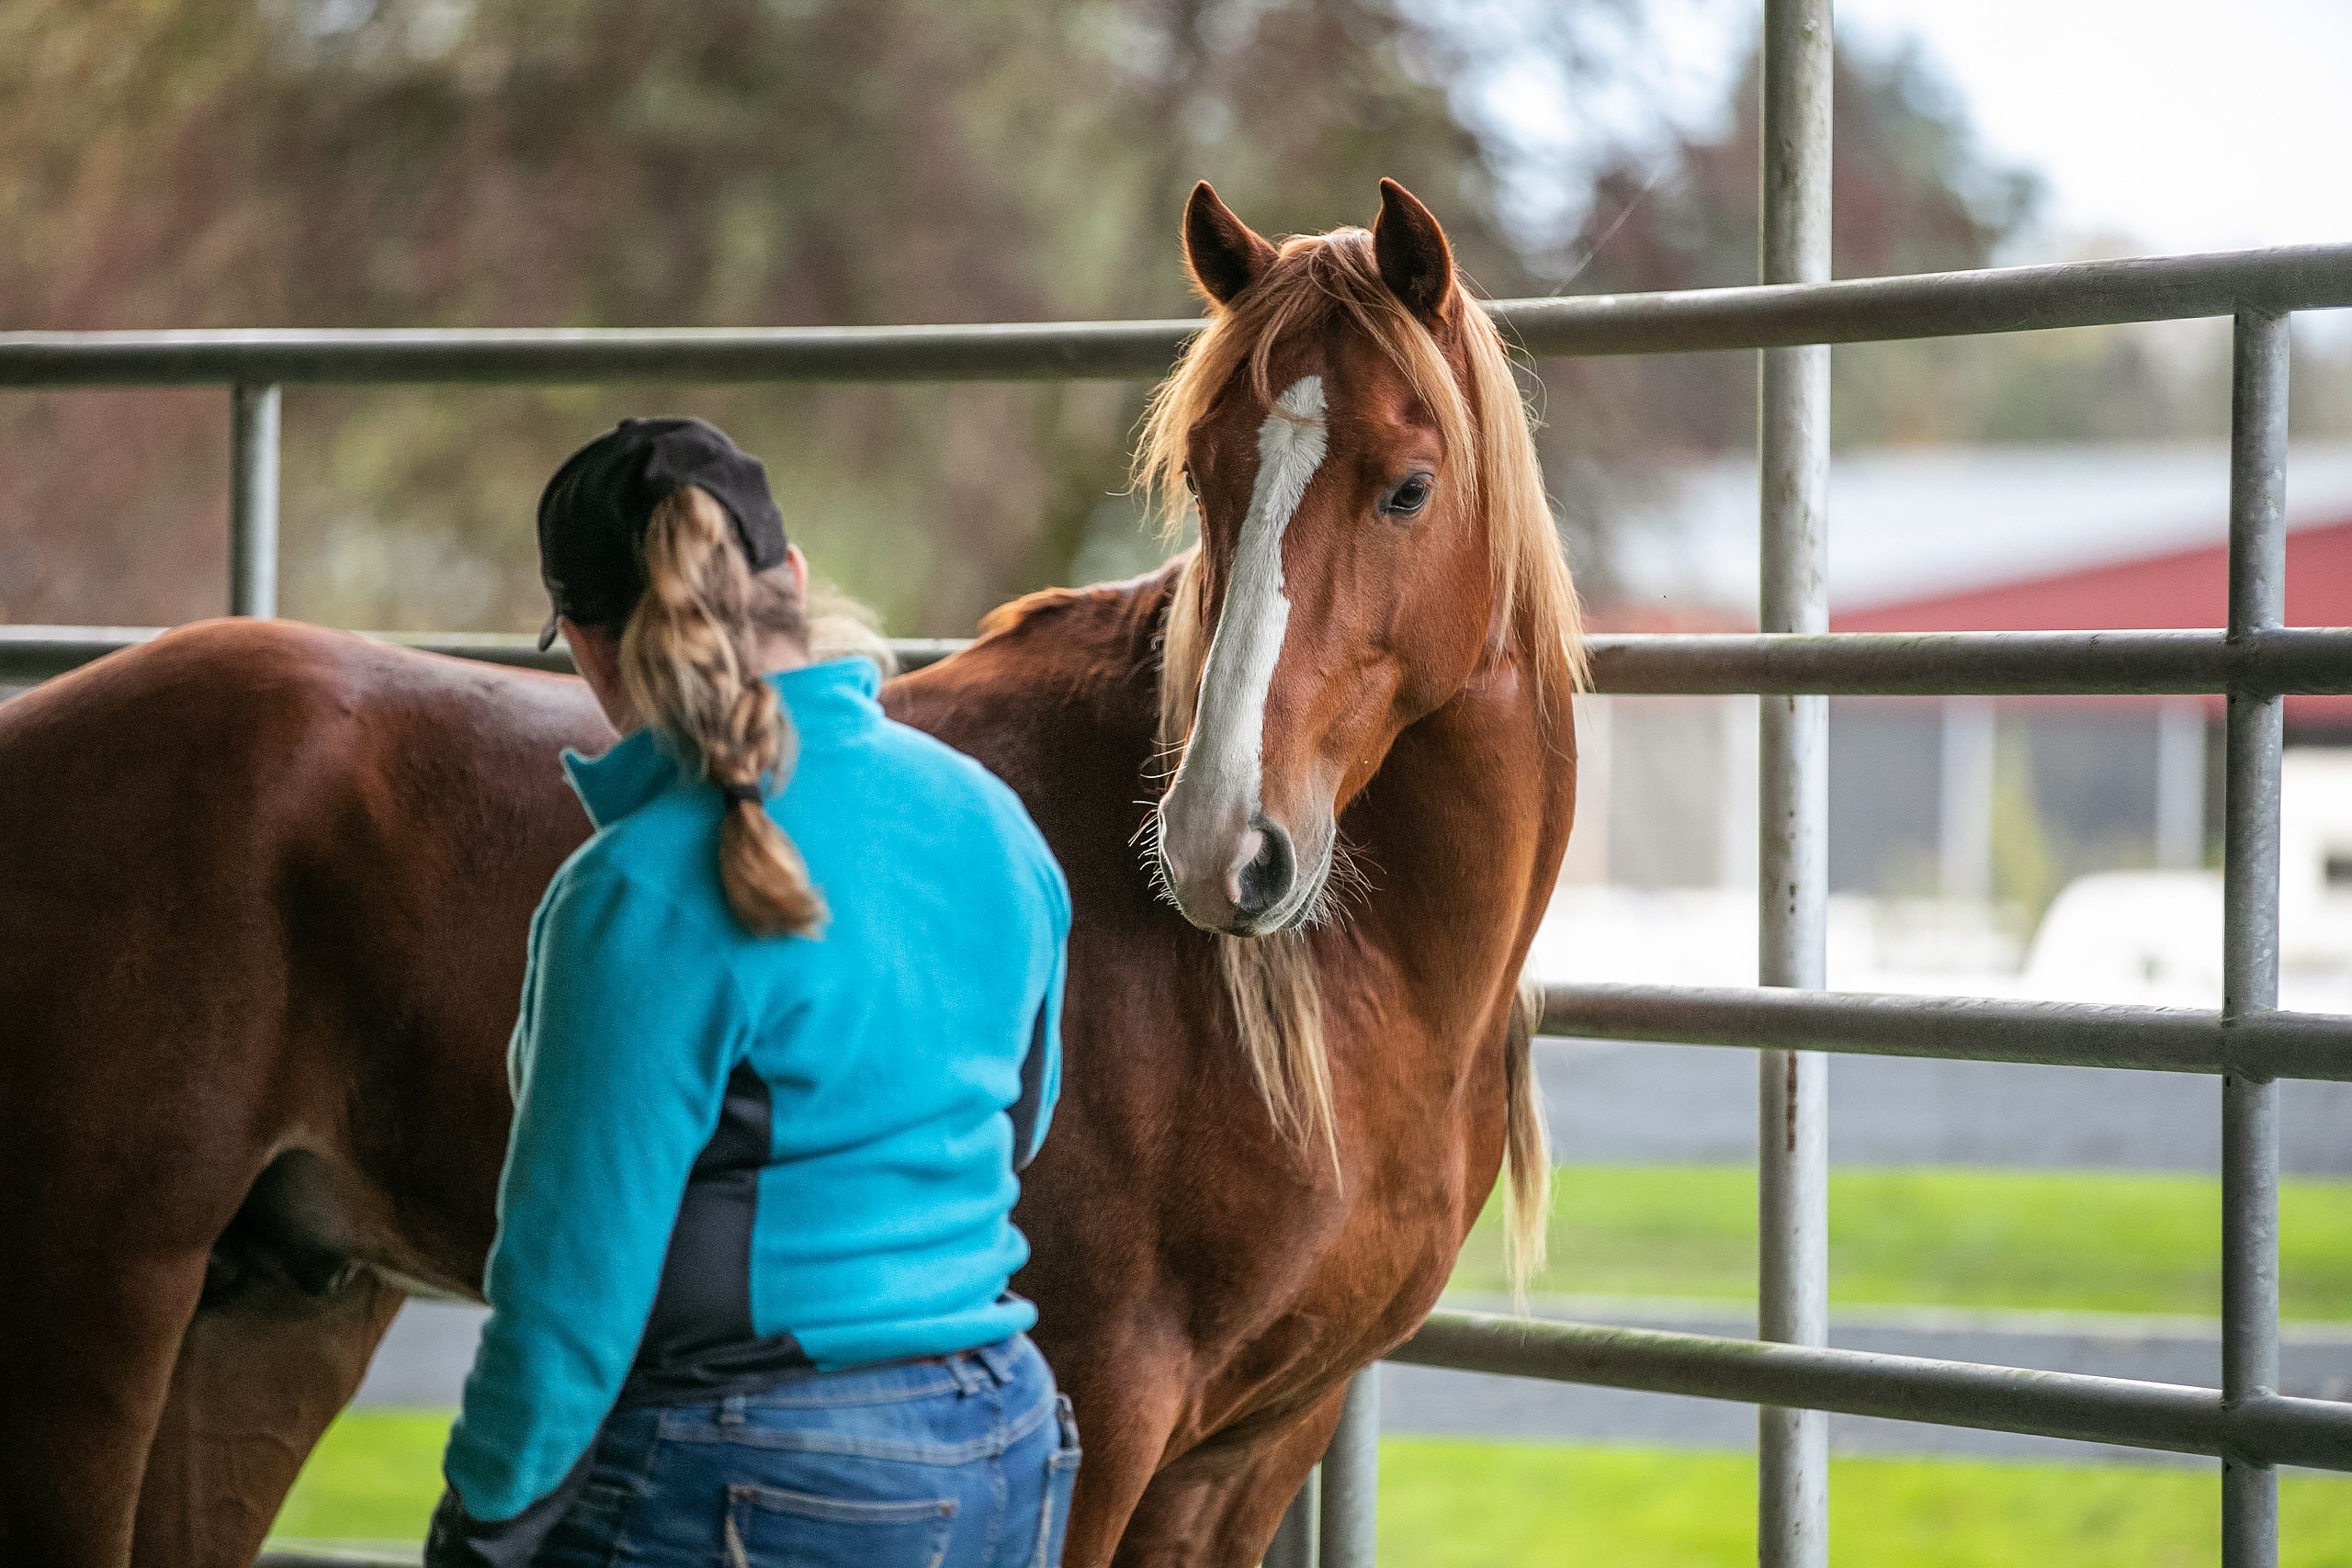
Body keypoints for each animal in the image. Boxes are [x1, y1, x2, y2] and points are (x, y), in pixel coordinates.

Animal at [5, 177, 1580, 1561]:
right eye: (1205, 477)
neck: (1336, 1000)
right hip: (98, 1312)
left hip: (267, 1324)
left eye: (1409, 487)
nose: (1218, 845)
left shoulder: (1256, 1448)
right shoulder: (1107, 1404)